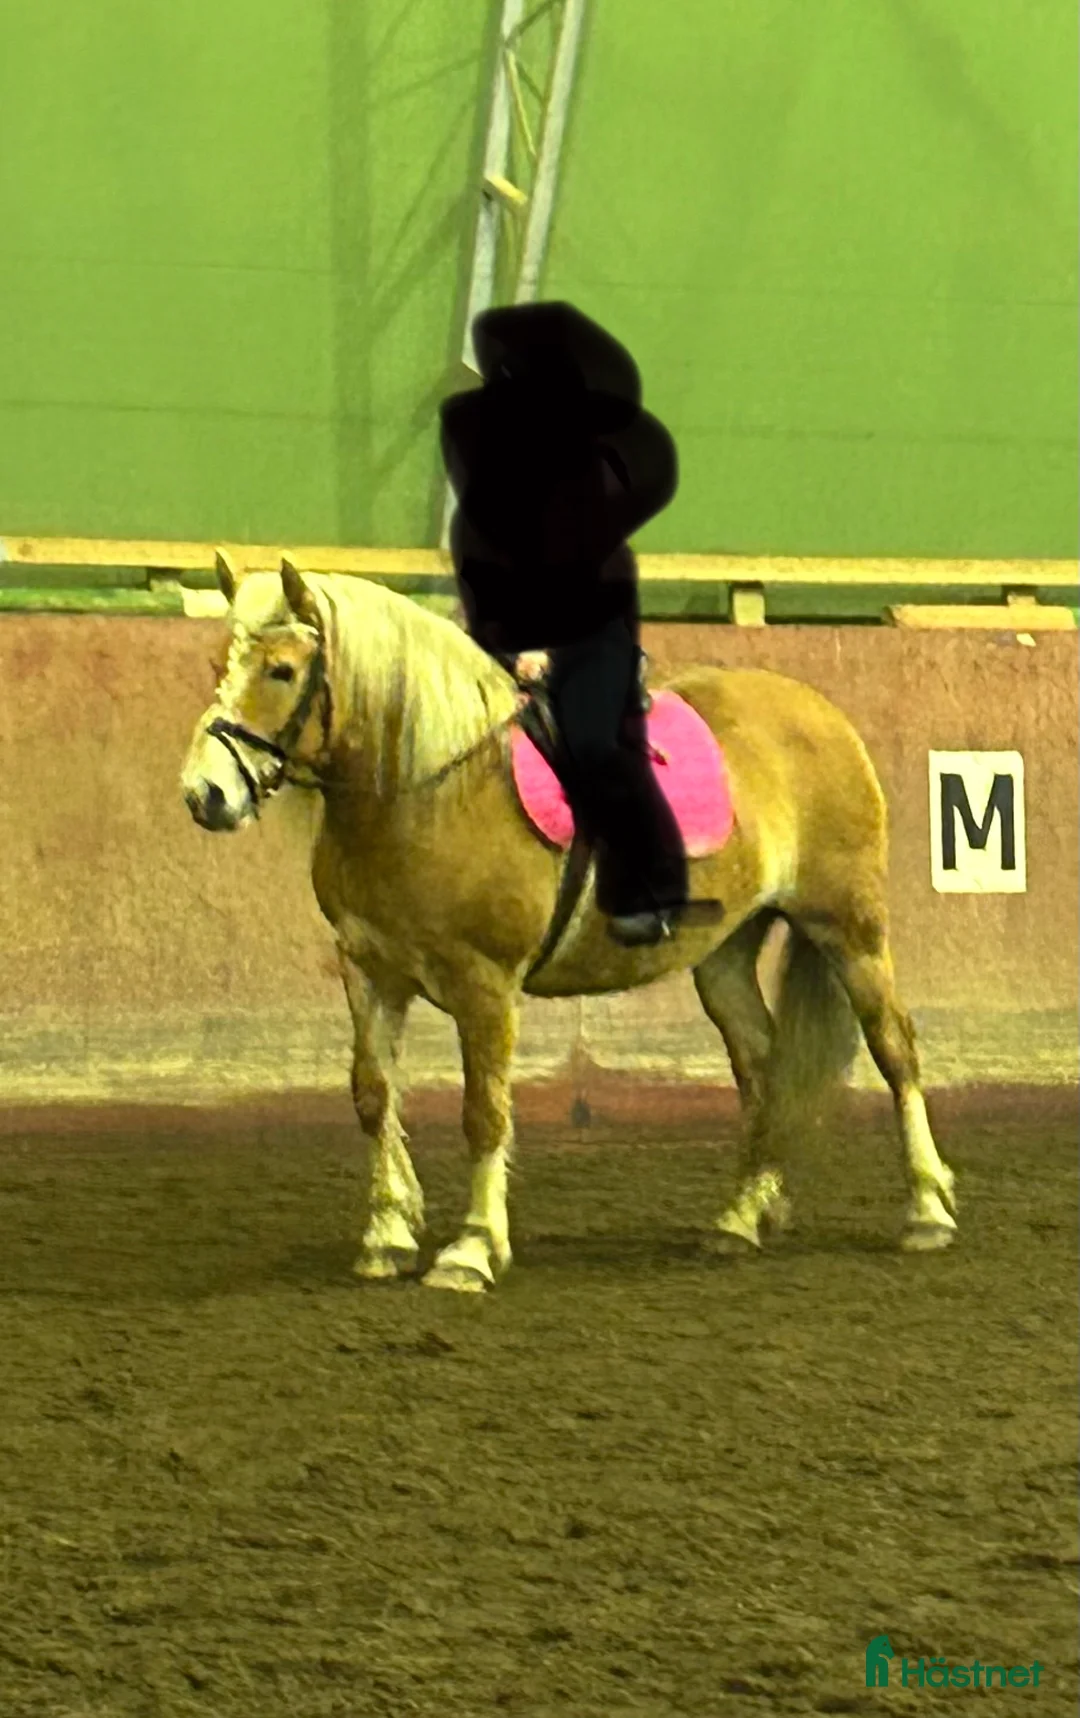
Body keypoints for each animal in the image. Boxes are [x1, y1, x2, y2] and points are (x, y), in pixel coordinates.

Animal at [180, 557, 957, 1292]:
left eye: (281, 670)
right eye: (219, 665)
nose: (204, 795)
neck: (427, 791)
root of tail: (817, 711)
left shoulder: (485, 985)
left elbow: (484, 1110)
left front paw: (471, 1250)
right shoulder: (369, 970)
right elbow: (373, 1095)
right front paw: (387, 1236)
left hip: (849, 929)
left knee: (895, 1048)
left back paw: (926, 1210)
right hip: (726, 954)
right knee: (763, 1063)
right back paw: (741, 1216)